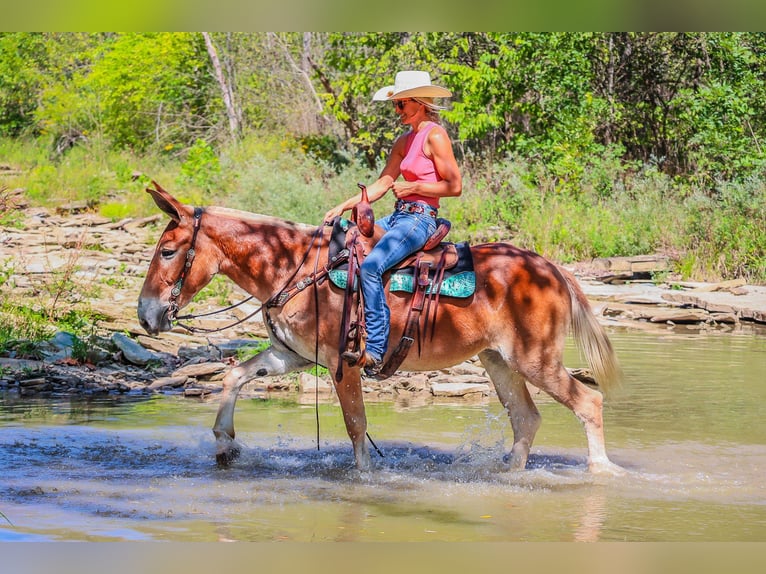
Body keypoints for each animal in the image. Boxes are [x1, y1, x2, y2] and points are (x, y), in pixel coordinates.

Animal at [140, 182, 632, 474]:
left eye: (167, 251)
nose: (146, 315)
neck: (294, 266)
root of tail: (550, 267)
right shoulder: (292, 355)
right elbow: (234, 376)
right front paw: (225, 445)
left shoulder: (342, 363)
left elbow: (356, 425)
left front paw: (365, 480)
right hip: (499, 362)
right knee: (526, 418)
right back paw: (510, 476)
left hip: (535, 360)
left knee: (588, 401)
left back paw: (601, 474)